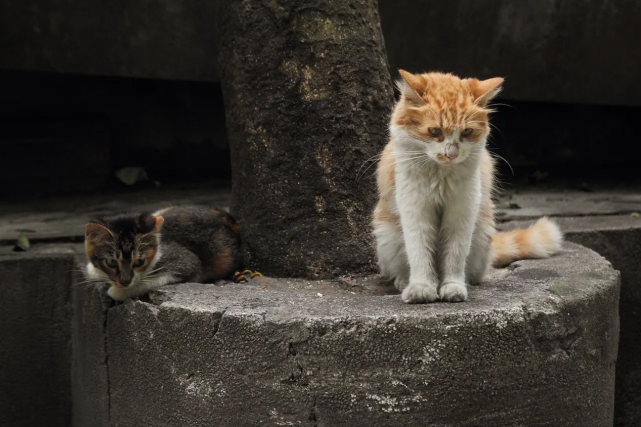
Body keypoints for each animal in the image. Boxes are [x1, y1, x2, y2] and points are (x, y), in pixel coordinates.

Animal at [85, 205, 240, 300]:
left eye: (139, 262)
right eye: (111, 262)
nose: (124, 282)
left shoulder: (187, 262)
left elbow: (150, 279)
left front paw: (117, 292)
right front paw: (94, 270)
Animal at [372, 70, 564, 304]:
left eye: (466, 132)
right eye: (434, 131)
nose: (451, 154)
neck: (441, 177)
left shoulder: (462, 212)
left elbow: (455, 255)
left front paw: (452, 287)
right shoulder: (415, 211)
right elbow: (419, 253)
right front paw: (421, 288)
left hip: (481, 232)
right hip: (387, 236)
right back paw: (403, 281)